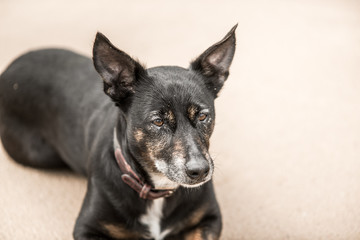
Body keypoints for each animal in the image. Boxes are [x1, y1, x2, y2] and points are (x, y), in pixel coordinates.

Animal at [0, 25, 236, 239]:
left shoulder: (210, 219)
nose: (200, 171)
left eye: (203, 116)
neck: (157, 190)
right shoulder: (86, 228)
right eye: (158, 121)